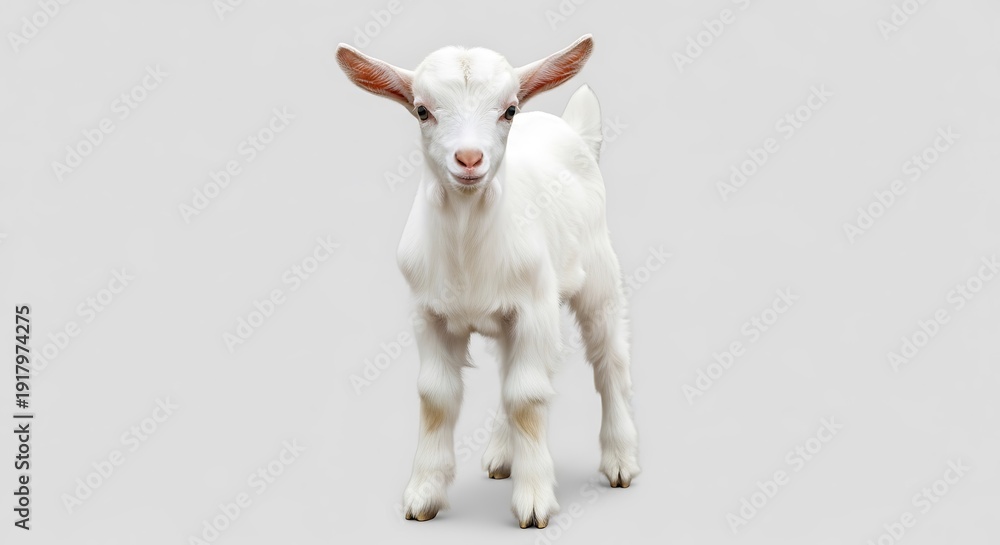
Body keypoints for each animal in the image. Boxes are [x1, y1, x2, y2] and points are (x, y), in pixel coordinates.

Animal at [335, 34, 639, 529]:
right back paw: (502, 454)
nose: (469, 158)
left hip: (598, 277)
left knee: (608, 358)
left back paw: (620, 460)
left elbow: (527, 398)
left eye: (509, 109)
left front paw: (534, 501)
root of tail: (575, 131)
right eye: (422, 110)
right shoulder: (429, 314)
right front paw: (423, 494)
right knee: (510, 369)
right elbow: (437, 397)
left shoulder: (533, 308)